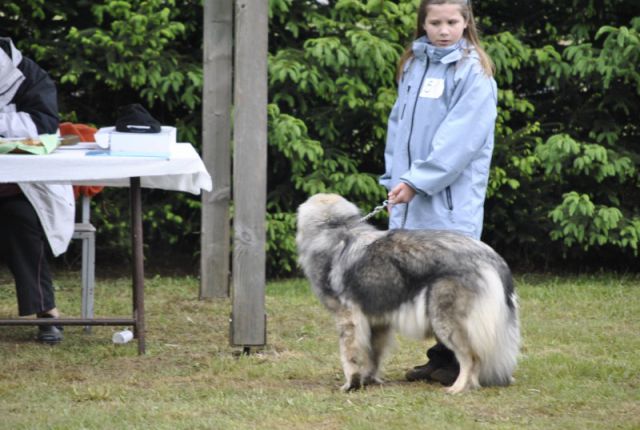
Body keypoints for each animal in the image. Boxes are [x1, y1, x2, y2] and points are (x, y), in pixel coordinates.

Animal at [298, 194, 524, 394]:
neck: (335, 229)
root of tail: (492, 258)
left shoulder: (348, 319)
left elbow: (350, 357)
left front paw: (351, 384)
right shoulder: (377, 321)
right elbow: (373, 355)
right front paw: (369, 379)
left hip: (446, 320)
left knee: (471, 358)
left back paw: (459, 387)